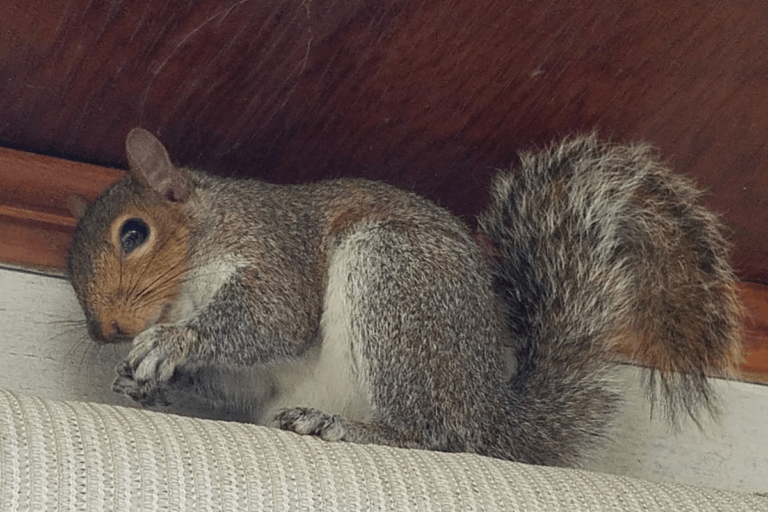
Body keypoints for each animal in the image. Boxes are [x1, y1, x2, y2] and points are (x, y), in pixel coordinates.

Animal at [67, 128, 743, 467]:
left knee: (436, 436)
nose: (107, 331)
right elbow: (236, 382)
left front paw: (176, 341)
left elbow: (276, 317)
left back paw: (348, 428)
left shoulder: (271, 247)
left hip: (394, 281)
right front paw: (143, 381)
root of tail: (490, 418)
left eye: (134, 234)